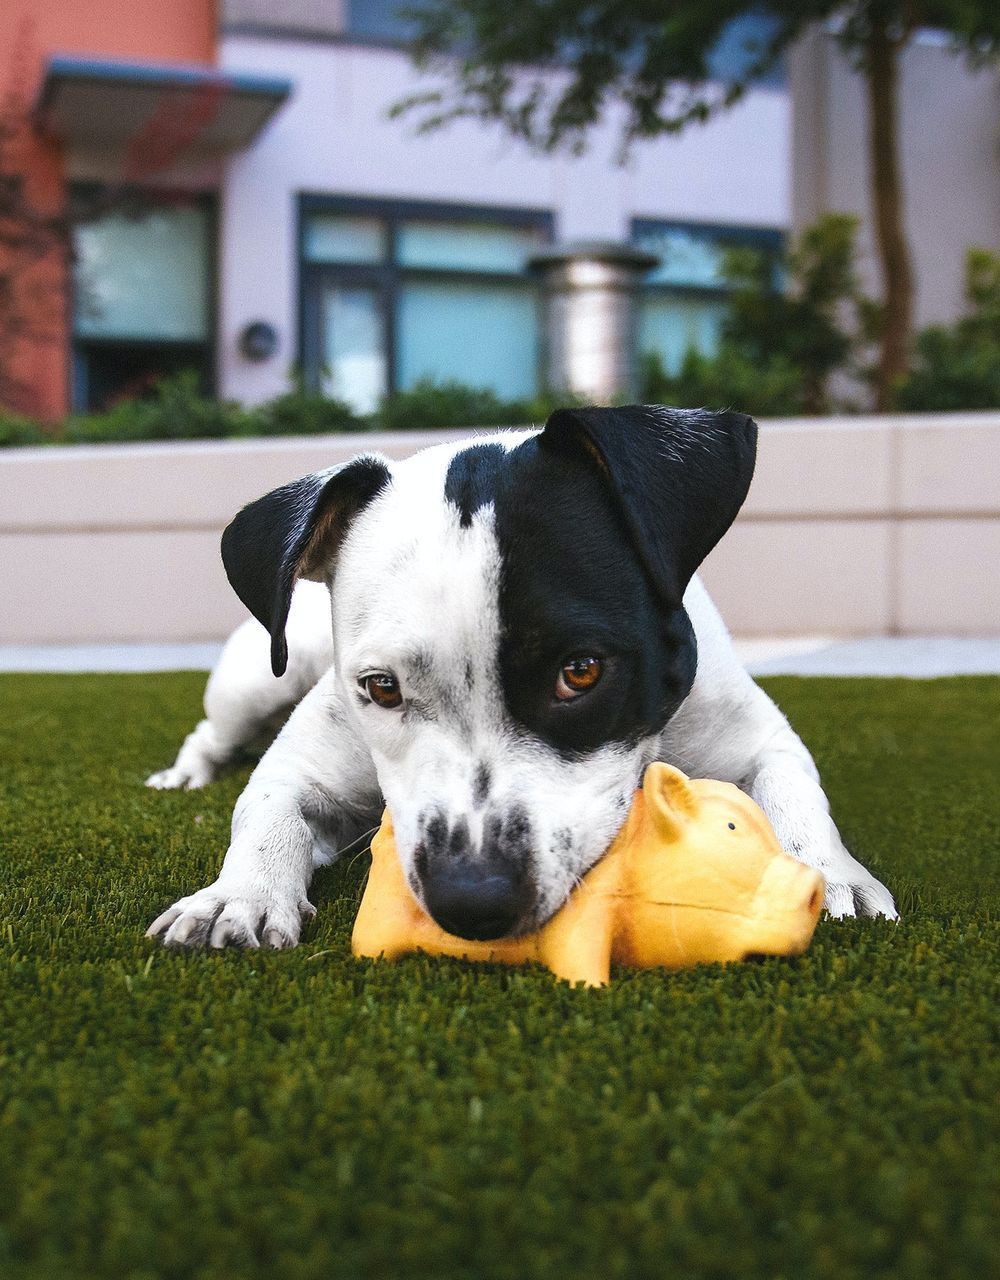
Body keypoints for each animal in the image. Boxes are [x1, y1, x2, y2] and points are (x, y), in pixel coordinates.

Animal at [142, 404, 896, 947]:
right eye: (382, 687)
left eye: (581, 672)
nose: (472, 900)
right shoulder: (304, 767)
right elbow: (268, 813)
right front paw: (237, 895)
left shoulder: (758, 739)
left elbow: (796, 794)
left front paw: (830, 874)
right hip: (258, 678)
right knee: (212, 732)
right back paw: (184, 775)